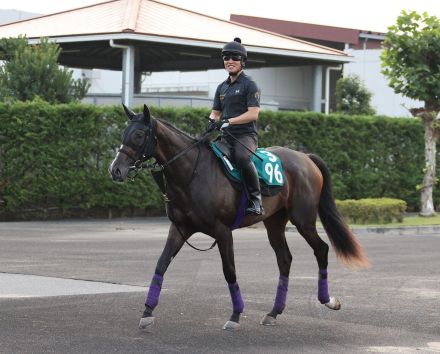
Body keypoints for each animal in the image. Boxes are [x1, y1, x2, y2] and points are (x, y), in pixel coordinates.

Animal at [109, 103, 368, 330]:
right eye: (124, 132)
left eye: (139, 134)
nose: (116, 169)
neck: (193, 171)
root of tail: (305, 157)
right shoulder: (180, 228)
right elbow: (161, 264)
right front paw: (147, 312)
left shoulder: (223, 232)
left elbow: (229, 271)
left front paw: (235, 316)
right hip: (274, 223)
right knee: (285, 259)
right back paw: (274, 312)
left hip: (303, 221)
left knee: (321, 249)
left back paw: (328, 300)